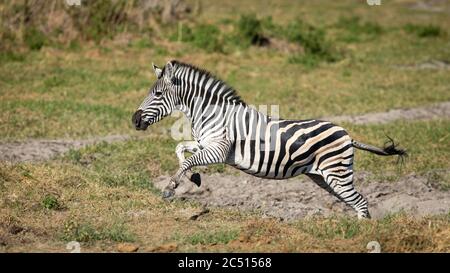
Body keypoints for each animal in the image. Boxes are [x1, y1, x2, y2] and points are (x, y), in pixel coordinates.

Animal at [132, 60, 406, 219]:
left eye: (158, 94)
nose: (134, 120)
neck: (211, 112)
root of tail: (348, 136)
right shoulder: (205, 143)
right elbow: (181, 150)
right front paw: (194, 178)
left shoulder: (219, 149)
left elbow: (188, 160)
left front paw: (171, 187)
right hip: (324, 178)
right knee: (354, 202)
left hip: (337, 174)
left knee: (361, 202)